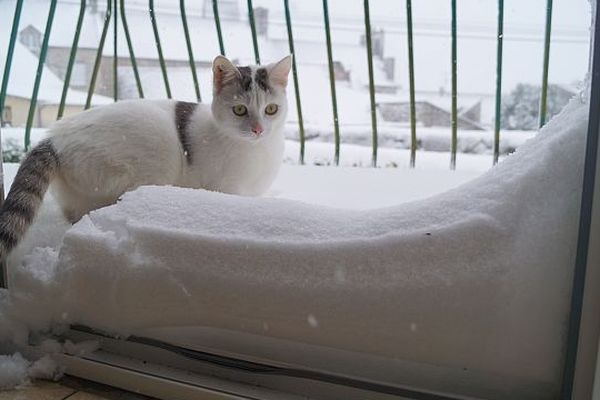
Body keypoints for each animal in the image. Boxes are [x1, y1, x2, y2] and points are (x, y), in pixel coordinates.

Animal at [0, 54, 292, 258]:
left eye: (271, 109)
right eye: (240, 110)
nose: (258, 129)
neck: (258, 151)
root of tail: (54, 136)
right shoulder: (225, 189)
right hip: (152, 157)